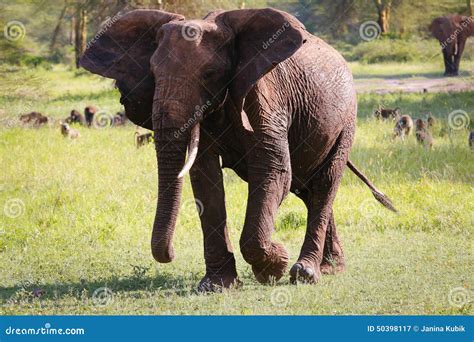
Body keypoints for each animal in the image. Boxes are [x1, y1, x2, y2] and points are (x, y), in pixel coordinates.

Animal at [78, 8, 396, 292]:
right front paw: (216, 286)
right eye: (153, 74)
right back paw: (330, 268)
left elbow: (273, 171)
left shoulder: (265, 98)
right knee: (307, 189)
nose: (171, 254)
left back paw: (306, 273)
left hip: (347, 122)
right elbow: (205, 180)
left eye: (209, 74)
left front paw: (274, 267)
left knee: (325, 182)